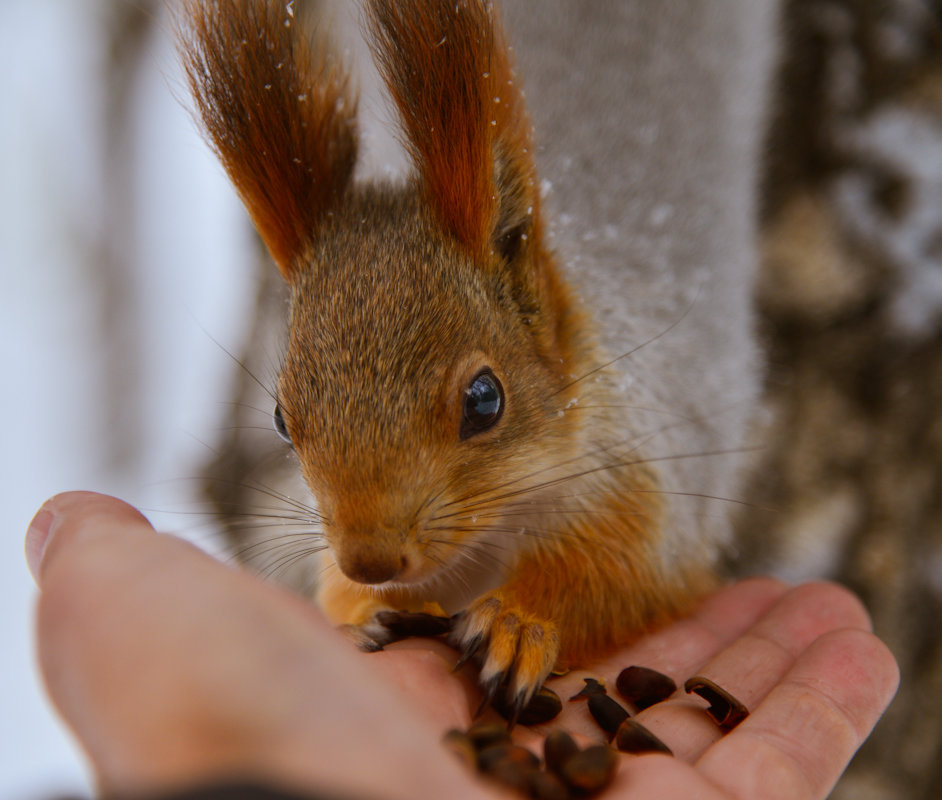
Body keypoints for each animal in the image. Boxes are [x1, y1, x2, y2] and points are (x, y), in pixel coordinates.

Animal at [175, 0, 776, 716]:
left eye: (485, 399)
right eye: (279, 420)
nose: (368, 561)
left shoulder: (649, 480)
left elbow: (621, 575)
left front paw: (518, 623)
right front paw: (355, 613)